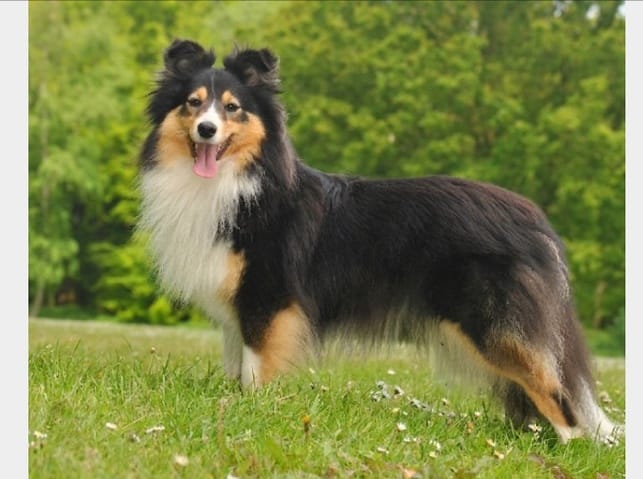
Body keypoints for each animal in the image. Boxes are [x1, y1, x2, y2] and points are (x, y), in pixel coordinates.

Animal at [138, 39, 618, 443]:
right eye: (193, 103)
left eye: (233, 108)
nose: (206, 130)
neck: (238, 182)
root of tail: (537, 221)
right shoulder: (241, 306)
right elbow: (238, 365)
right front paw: (234, 403)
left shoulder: (268, 295)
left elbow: (256, 368)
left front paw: (252, 410)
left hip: (496, 326)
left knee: (560, 398)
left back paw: (571, 446)